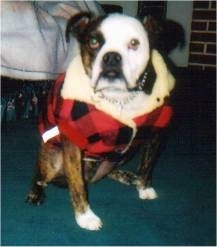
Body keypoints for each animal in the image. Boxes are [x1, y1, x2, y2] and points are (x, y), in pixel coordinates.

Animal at [26, 13, 175, 230]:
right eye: (94, 42)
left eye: (134, 43)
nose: (111, 57)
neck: (119, 98)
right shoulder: (72, 143)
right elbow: (77, 184)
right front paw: (85, 216)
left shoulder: (155, 134)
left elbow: (147, 165)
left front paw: (144, 187)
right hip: (53, 158)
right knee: (40, 176)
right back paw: (36, 193)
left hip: (122, 155)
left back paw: (127, 176)